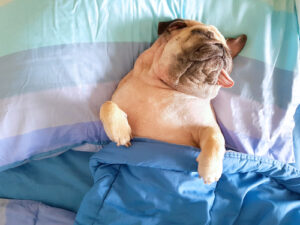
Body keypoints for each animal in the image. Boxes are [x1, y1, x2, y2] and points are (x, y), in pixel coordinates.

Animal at [99, 18, 247, 185]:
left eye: (228, 51)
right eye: (204, 34)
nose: (223, 48)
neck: (169, 87)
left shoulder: (206, 127)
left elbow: (215, 136)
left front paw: (210, 168)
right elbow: (107, 105)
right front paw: (120, 131)